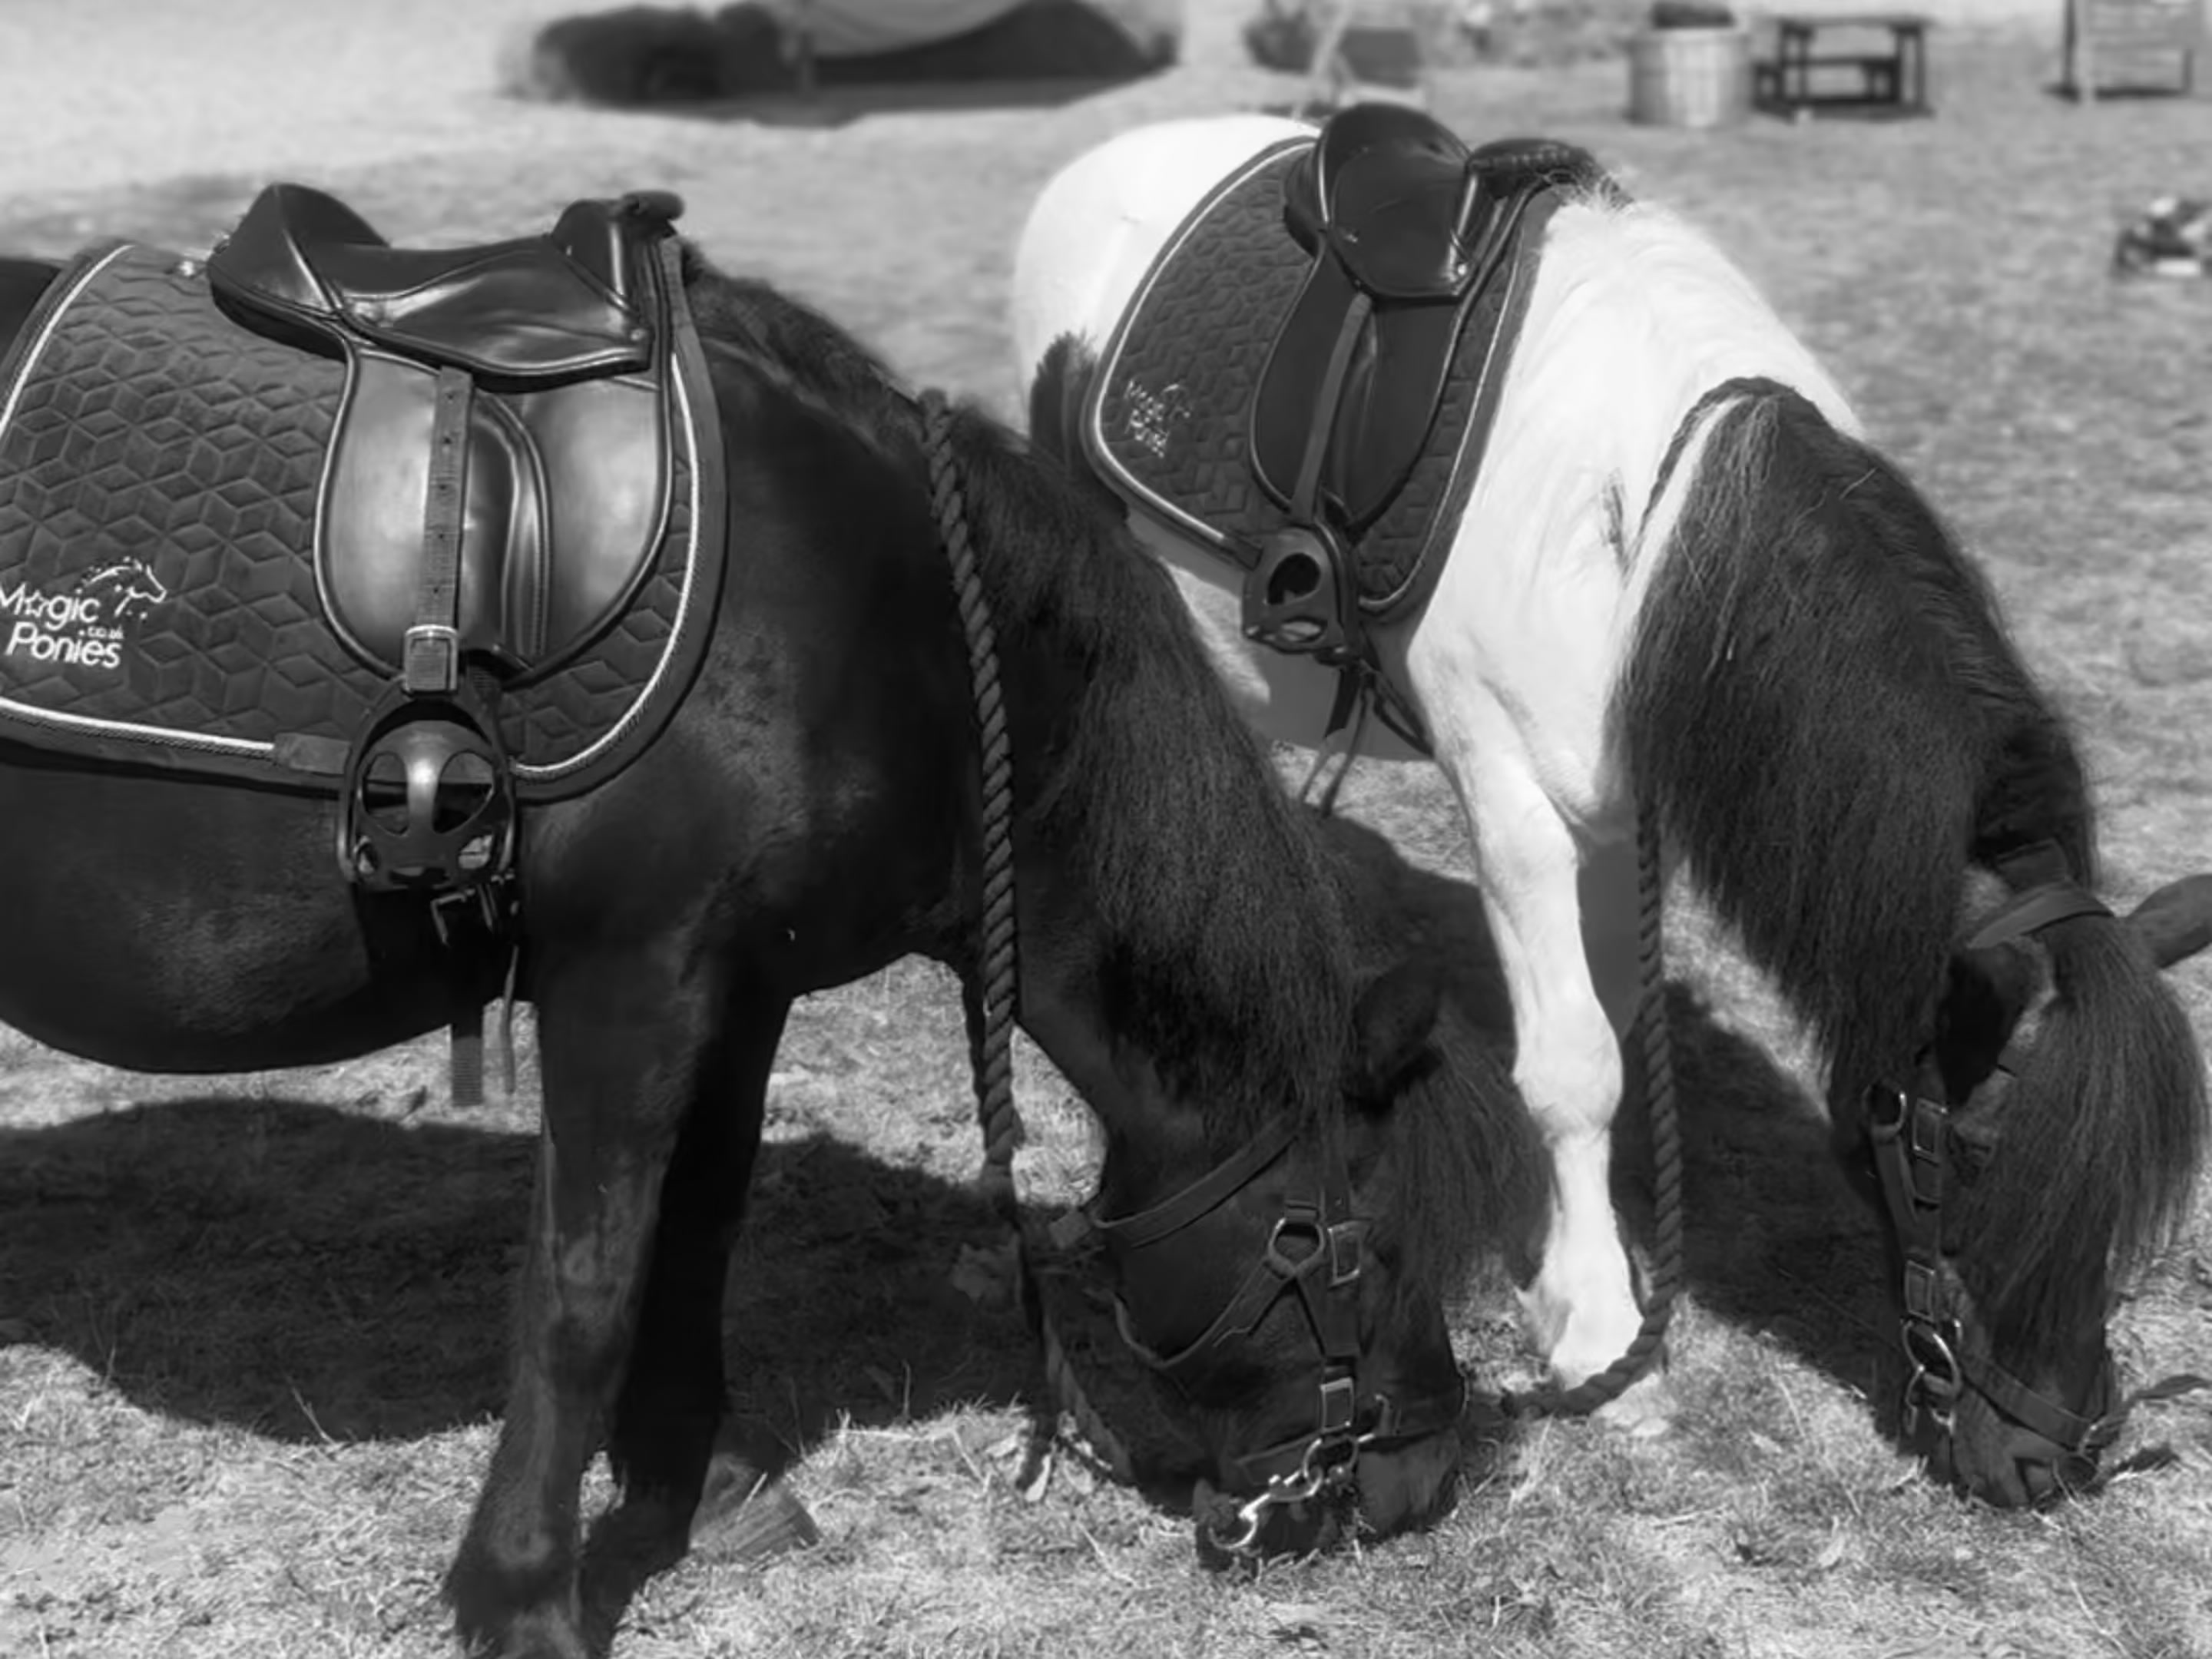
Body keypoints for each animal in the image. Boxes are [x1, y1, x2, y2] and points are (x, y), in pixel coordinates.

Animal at [0, 201, 1537, 1658]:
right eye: (1359, 1249)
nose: (1416, 1482)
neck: (884, 629)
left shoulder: (741, 990)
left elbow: (700, 1229)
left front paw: (706, 1484)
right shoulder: (628, 981)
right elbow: (584, 1289)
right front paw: (525, 1596)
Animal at [1010, 109, 2210, 1507]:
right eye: (1963, 1155)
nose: (2054, 1454)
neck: (1660, 522)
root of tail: (1120, 152)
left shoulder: (1631, 810)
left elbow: (1624, 1033)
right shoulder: (1514, 804)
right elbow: (1574, 1068)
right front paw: (1595, 1329)